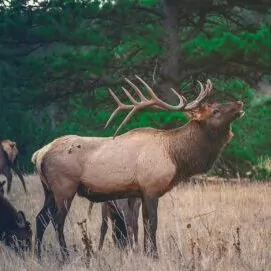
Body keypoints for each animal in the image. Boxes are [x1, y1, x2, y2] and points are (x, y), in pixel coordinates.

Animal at [32, 75, 246, 262]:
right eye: (215, 110)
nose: (239, 103)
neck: (175, 156)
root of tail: (39, 154)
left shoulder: (140, 192)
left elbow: (142, 223)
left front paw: (146, 253)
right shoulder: (151, 187)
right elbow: (153, 223)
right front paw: (155, 255)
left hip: (48, 189)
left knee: (40, 218)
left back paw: (38, 255)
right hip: (64, 186)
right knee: (57, 220)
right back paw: (64, 256)